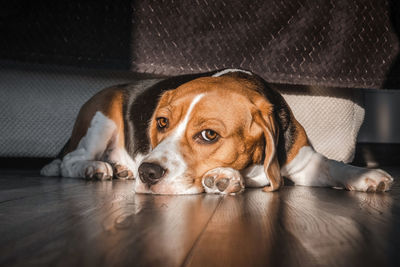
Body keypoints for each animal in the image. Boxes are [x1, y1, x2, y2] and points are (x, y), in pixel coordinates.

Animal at [41, 69, 394, 195]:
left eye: (209, 135)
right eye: (162, 123)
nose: (147, 173)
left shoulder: (304, 161)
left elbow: (335, 166)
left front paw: (366, 176)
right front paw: (225, 178)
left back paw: (121, 169)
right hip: (102, 117)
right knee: (70, 161)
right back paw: (96, 168)